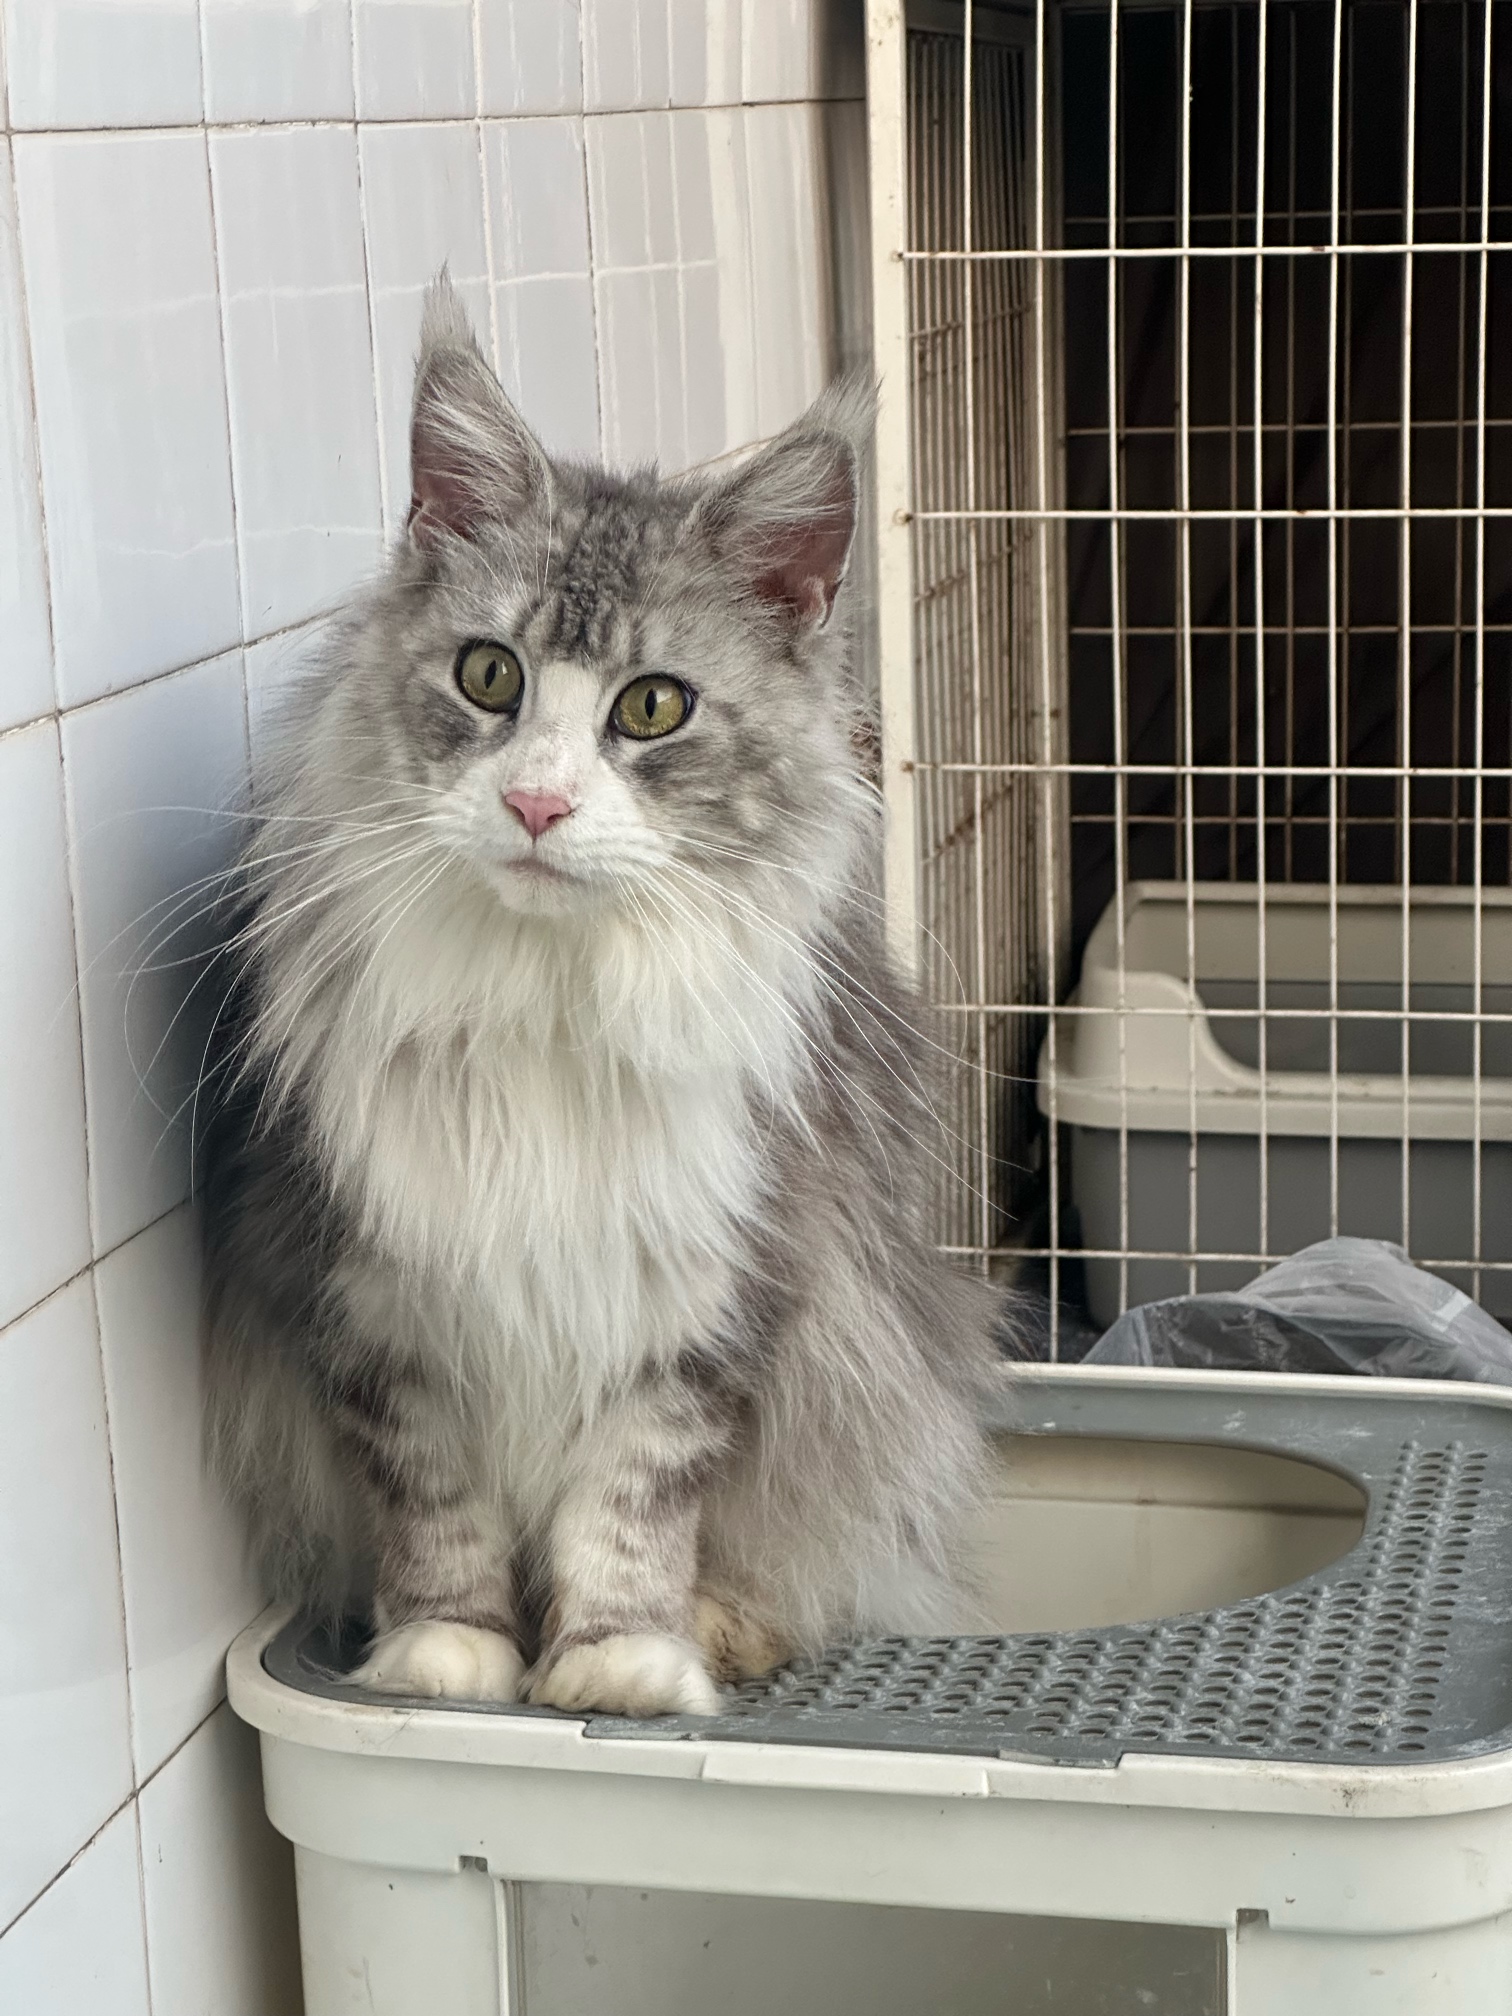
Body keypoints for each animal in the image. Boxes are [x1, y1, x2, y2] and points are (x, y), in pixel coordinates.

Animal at [200, 275, 1003, 1717]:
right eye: (488, 678)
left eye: (653, 707)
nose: (536, 804)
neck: (550, 998)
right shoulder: (372, 1301)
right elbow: (437, 1510)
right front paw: (448, 1661)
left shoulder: (710, 1305)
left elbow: (630, 1511)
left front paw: (621, 1665)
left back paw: (726, 1629)